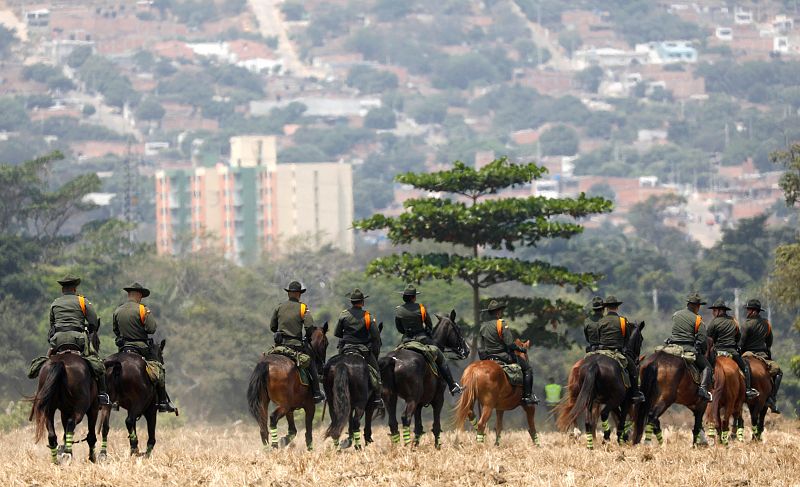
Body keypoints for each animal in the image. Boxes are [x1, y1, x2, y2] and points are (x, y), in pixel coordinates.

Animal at [324, 322, 382, 452]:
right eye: (379, 342)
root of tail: (342, 364)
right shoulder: (369, 403)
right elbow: (365, 421)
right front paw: (367, 439)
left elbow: (348, 418)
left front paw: (348, 440)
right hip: (361, 402)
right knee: (356, 423)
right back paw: (358, 447)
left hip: (332, 401)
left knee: (336, 421)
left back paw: (338, 449)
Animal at [380, 312, 468, 450]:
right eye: (458, 329)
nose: (467, 350)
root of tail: (394, 360)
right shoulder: (438, 399)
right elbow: (436, 426)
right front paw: (437, 447)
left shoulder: (419, 404)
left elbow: (418, 427)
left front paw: (416, 446)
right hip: (412, 398)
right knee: (405, 417)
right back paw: (406, 446)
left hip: (390, 397)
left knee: (393, 422)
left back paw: (397, 448)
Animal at [560, 322, 648, 452]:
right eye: (641, 339)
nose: (636, 360)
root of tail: (594, 365)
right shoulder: (624, 401)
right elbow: (621, 419)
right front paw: (621, 438)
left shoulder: (613, 402)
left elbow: (618, 417)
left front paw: (624, 436)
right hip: (612, 399)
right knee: (603, 414)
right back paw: (605, 438)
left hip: (589, 399)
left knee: (588, 421)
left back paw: (589, 444)